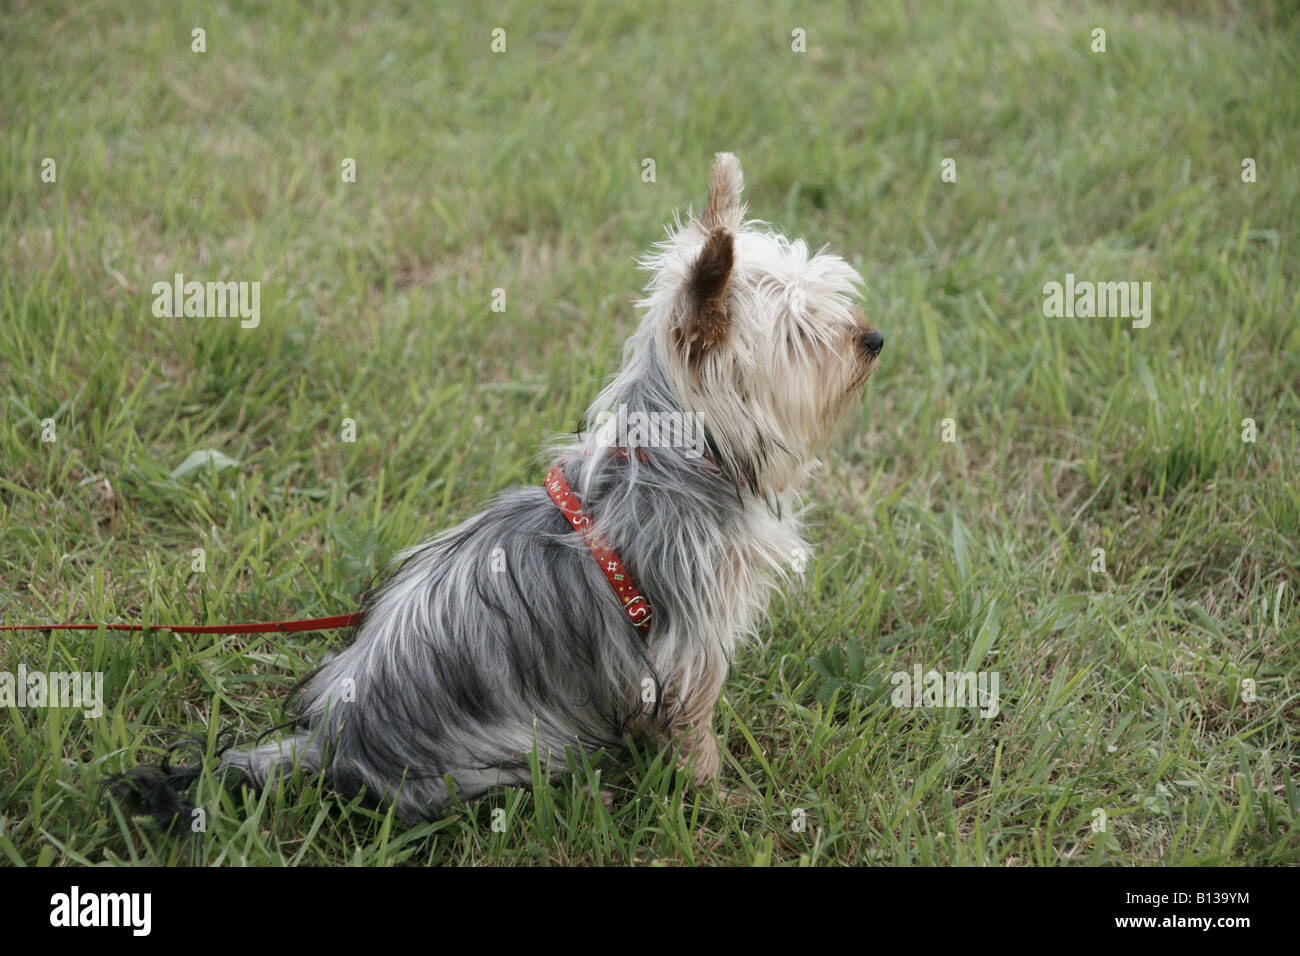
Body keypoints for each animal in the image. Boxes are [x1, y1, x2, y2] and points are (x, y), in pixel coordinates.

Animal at [116, 153, 883, 827]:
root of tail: (330, 744)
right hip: (509, 748)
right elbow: (694, 734)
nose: (873, 338)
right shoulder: (687, 647)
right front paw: (719, 797)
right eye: (804, 334)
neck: (678, 458)